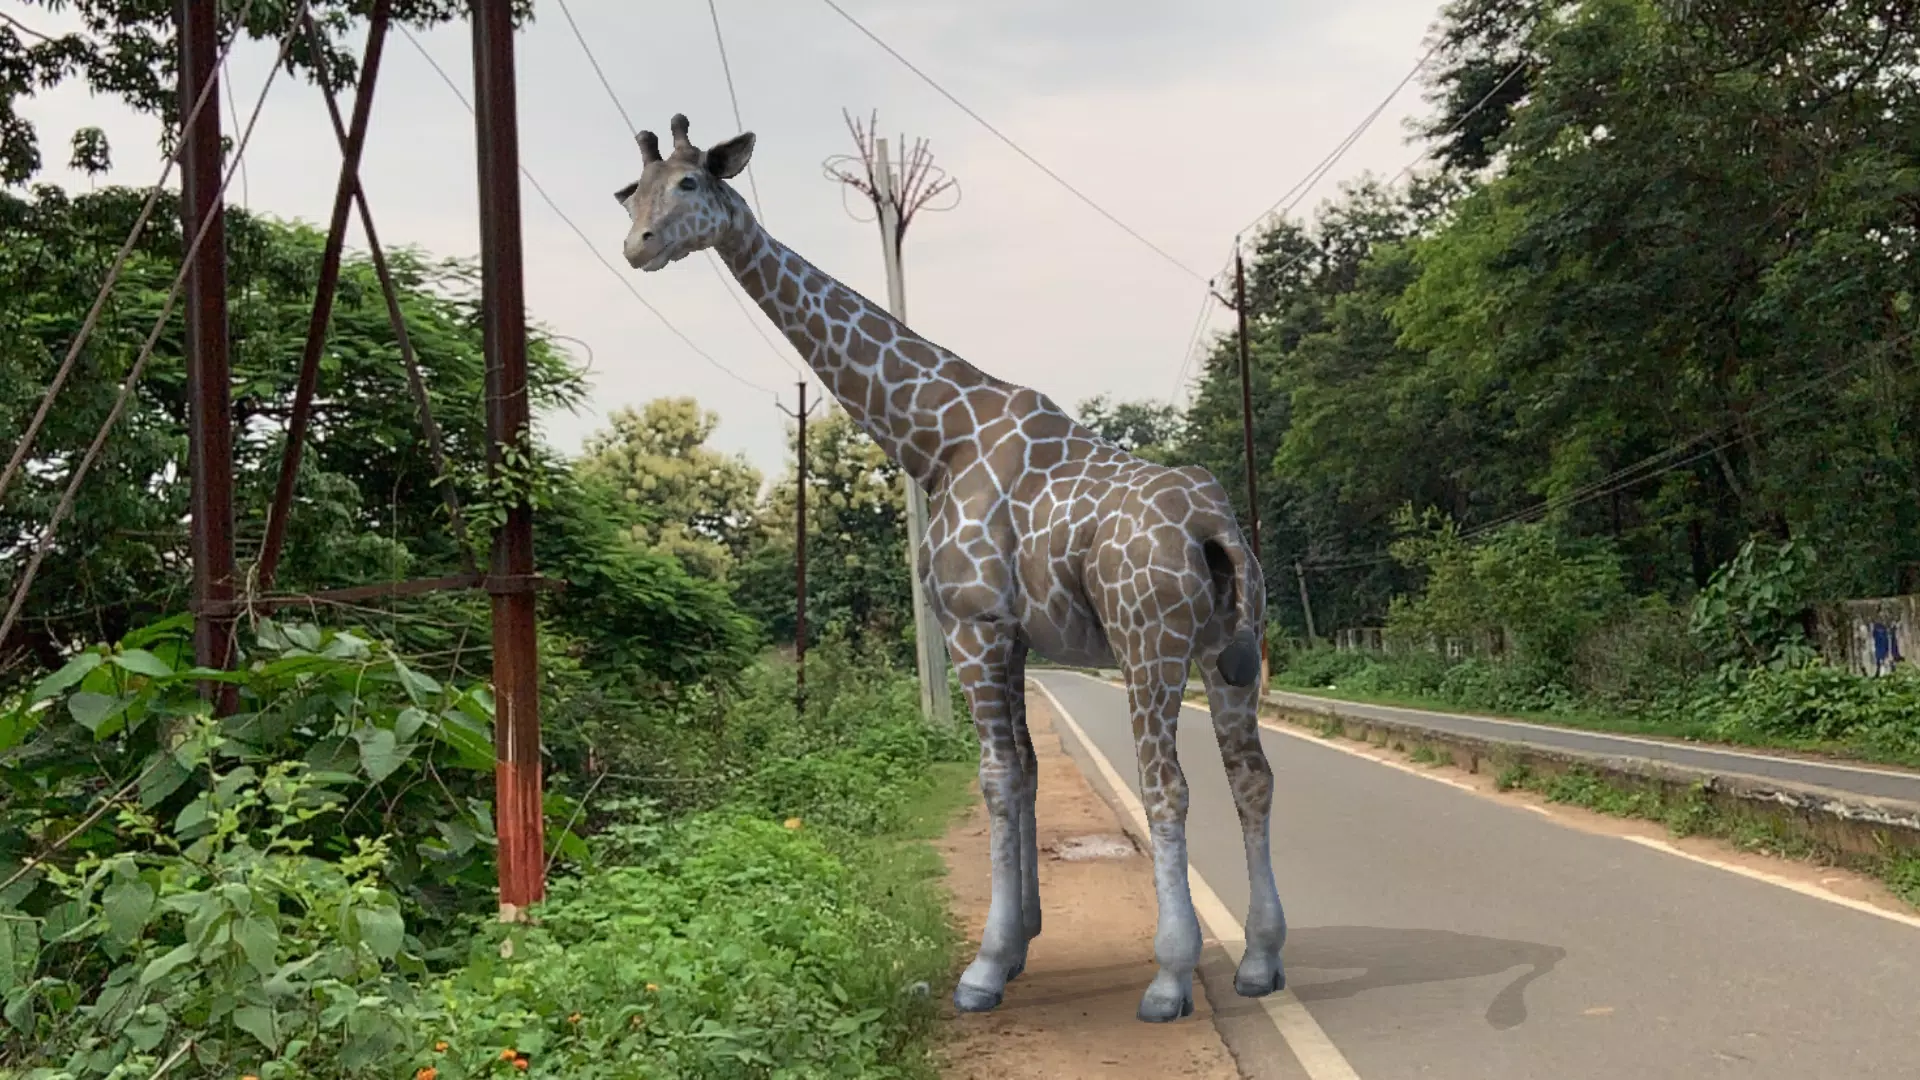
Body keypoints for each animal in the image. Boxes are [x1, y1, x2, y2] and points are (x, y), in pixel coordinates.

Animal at [614, 115, 1290, 1014]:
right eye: (633, 191)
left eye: (690, 184)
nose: (638, 246)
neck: (935, 437)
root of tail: (1215, 521)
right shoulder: (1014, 635)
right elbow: (1028, 772)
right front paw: (1020, 943)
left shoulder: (973, 624)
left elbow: (997, 777)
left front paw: (983, 968)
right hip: (1229, 649)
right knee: (1252, 777)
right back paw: (1259, 960)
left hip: (1147, 643)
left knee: (1167, 784)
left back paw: (1170, 977)